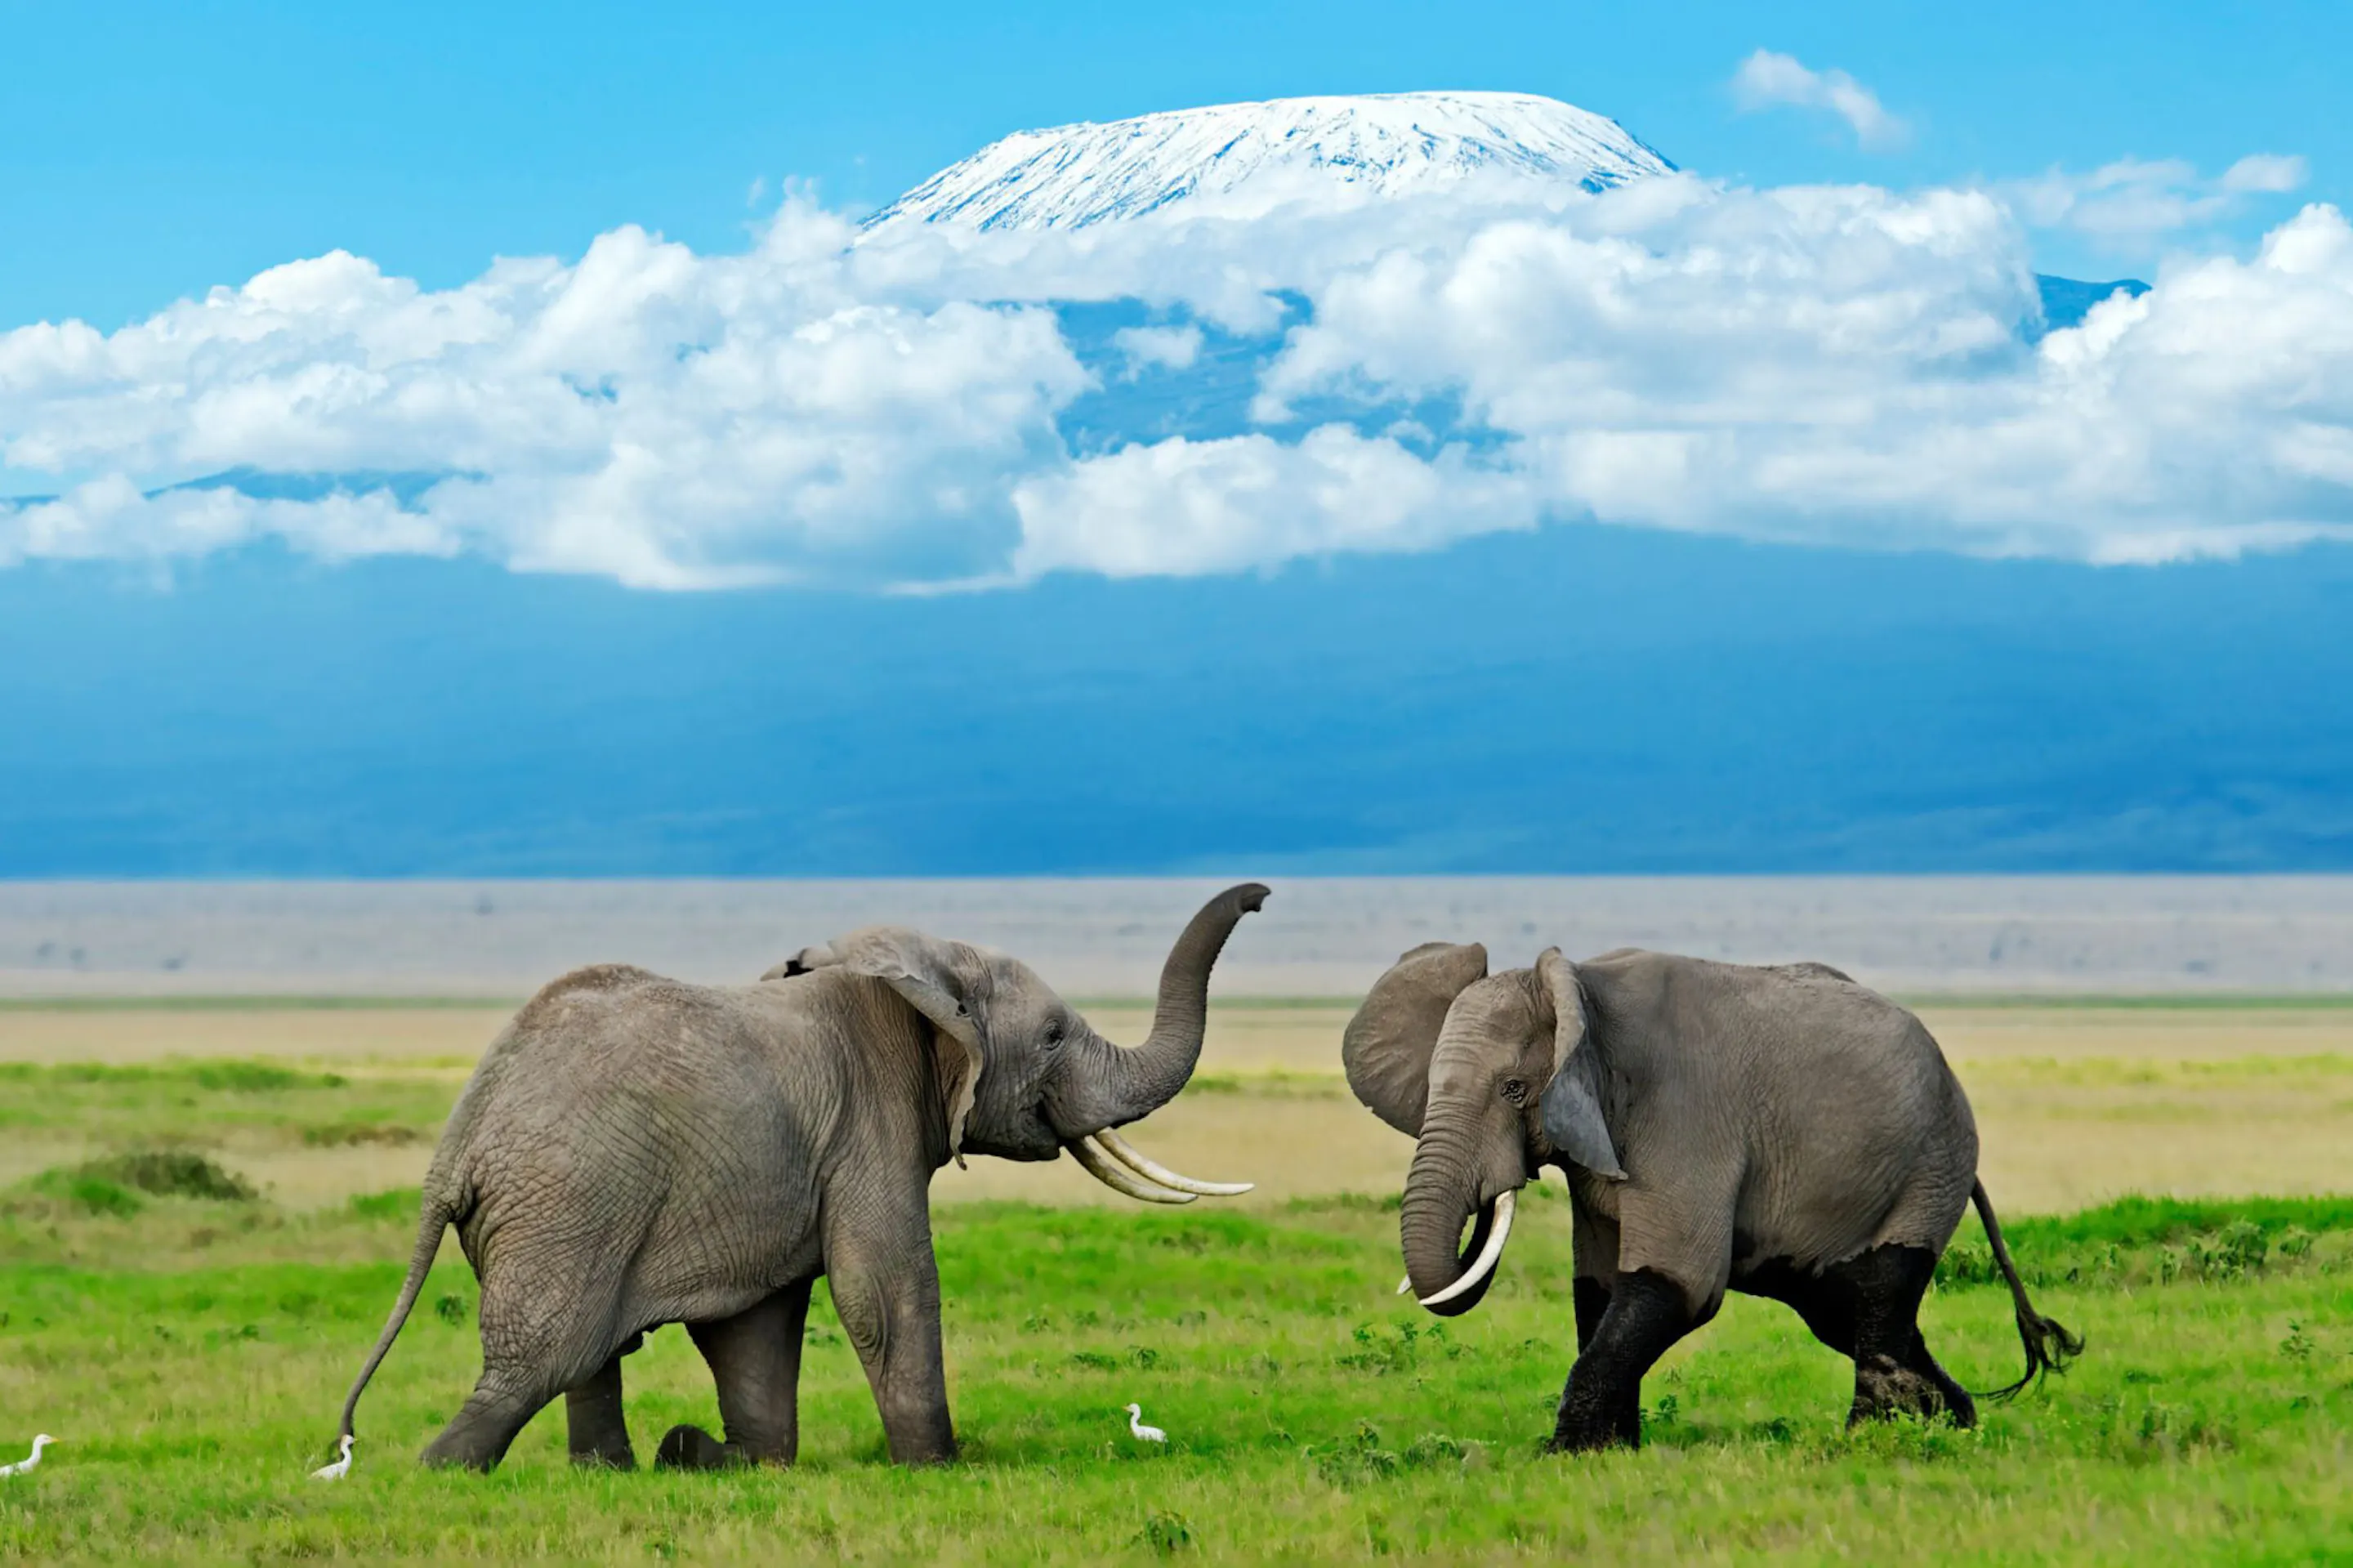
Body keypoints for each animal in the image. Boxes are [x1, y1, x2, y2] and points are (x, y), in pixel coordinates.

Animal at [333, 883, 1269, 1471]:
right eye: (1051, 1037)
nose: (1261, 897)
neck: (923, 973)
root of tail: (461, 1136)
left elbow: (760, 1322)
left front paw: (730, 1456)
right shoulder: (870, 1121)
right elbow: (886, 1287)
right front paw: (939, 1467)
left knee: (587, 1354)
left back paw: (626, 1468)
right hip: (568, 1200)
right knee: (544, 1357)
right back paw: (441, 1470)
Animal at [1342, 942, 2079, 1452]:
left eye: (1515, 1090)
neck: (1578, 988)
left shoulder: (1682, 1118)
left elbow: (1679, 1282)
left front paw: (1561, 1453)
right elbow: (1598, 1288)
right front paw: (1609, 1452)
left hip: (1929, 1166)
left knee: (1876, 1300)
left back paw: (1870, 1441)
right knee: (1850, 1313)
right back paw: (1955, 1423)